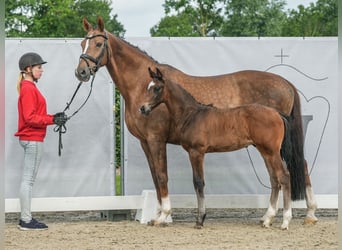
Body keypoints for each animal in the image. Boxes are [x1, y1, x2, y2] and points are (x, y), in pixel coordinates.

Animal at [140, 67, 292, 229]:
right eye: (148, 87)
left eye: (157, 88)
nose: (142, 108)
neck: (191, 114)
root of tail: (276, 113)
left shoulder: (196, 152)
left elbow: (198, 182)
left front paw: (200, 220)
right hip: (266, 152)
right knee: (274, 179)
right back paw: (268, 219)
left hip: (272, 152)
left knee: (284, 176)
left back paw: (285, 222)